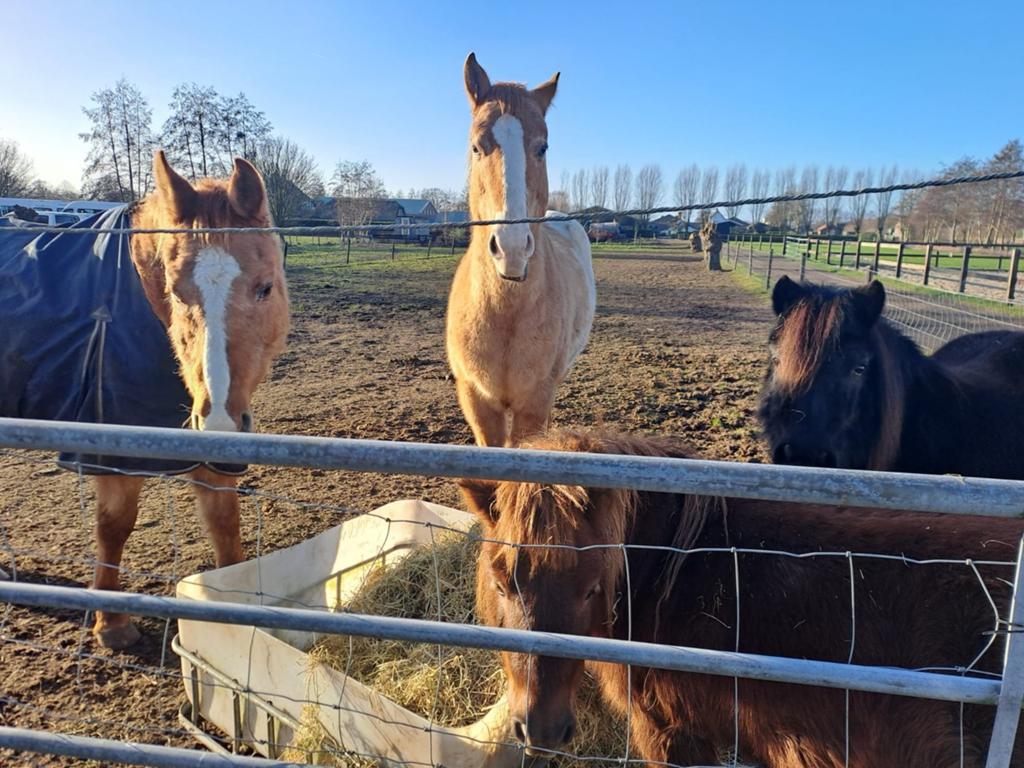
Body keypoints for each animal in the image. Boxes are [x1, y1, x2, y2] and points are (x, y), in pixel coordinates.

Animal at [0, 151, 290, 647]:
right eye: (175, 291)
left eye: (265, 287)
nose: (220, 426)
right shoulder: (114, 451)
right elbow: (113, 527)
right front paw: (112, 624)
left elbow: (225, 528)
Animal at [446, 53, 596, 447]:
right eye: (476, 146)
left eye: (542, 146)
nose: (511, 248)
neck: (505, 311)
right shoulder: (477, 401)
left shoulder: (535, 402)